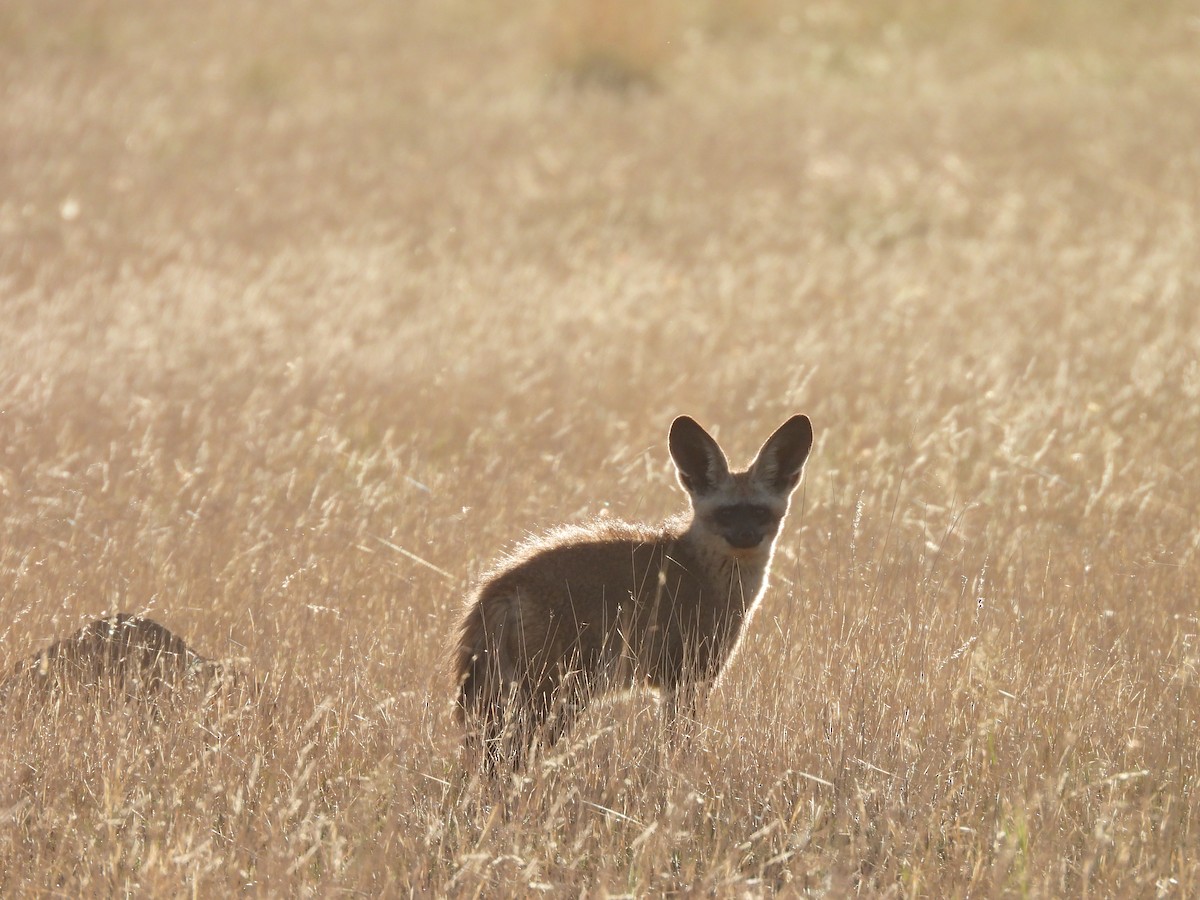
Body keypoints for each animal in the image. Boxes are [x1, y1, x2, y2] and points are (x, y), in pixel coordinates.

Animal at [453, 413, 813, 770]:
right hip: (556, 697)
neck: (702, 571)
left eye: (759, 512)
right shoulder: (688, 678)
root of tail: (498, 584)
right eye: (725, 513)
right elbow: (678, 746)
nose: (745, 536)